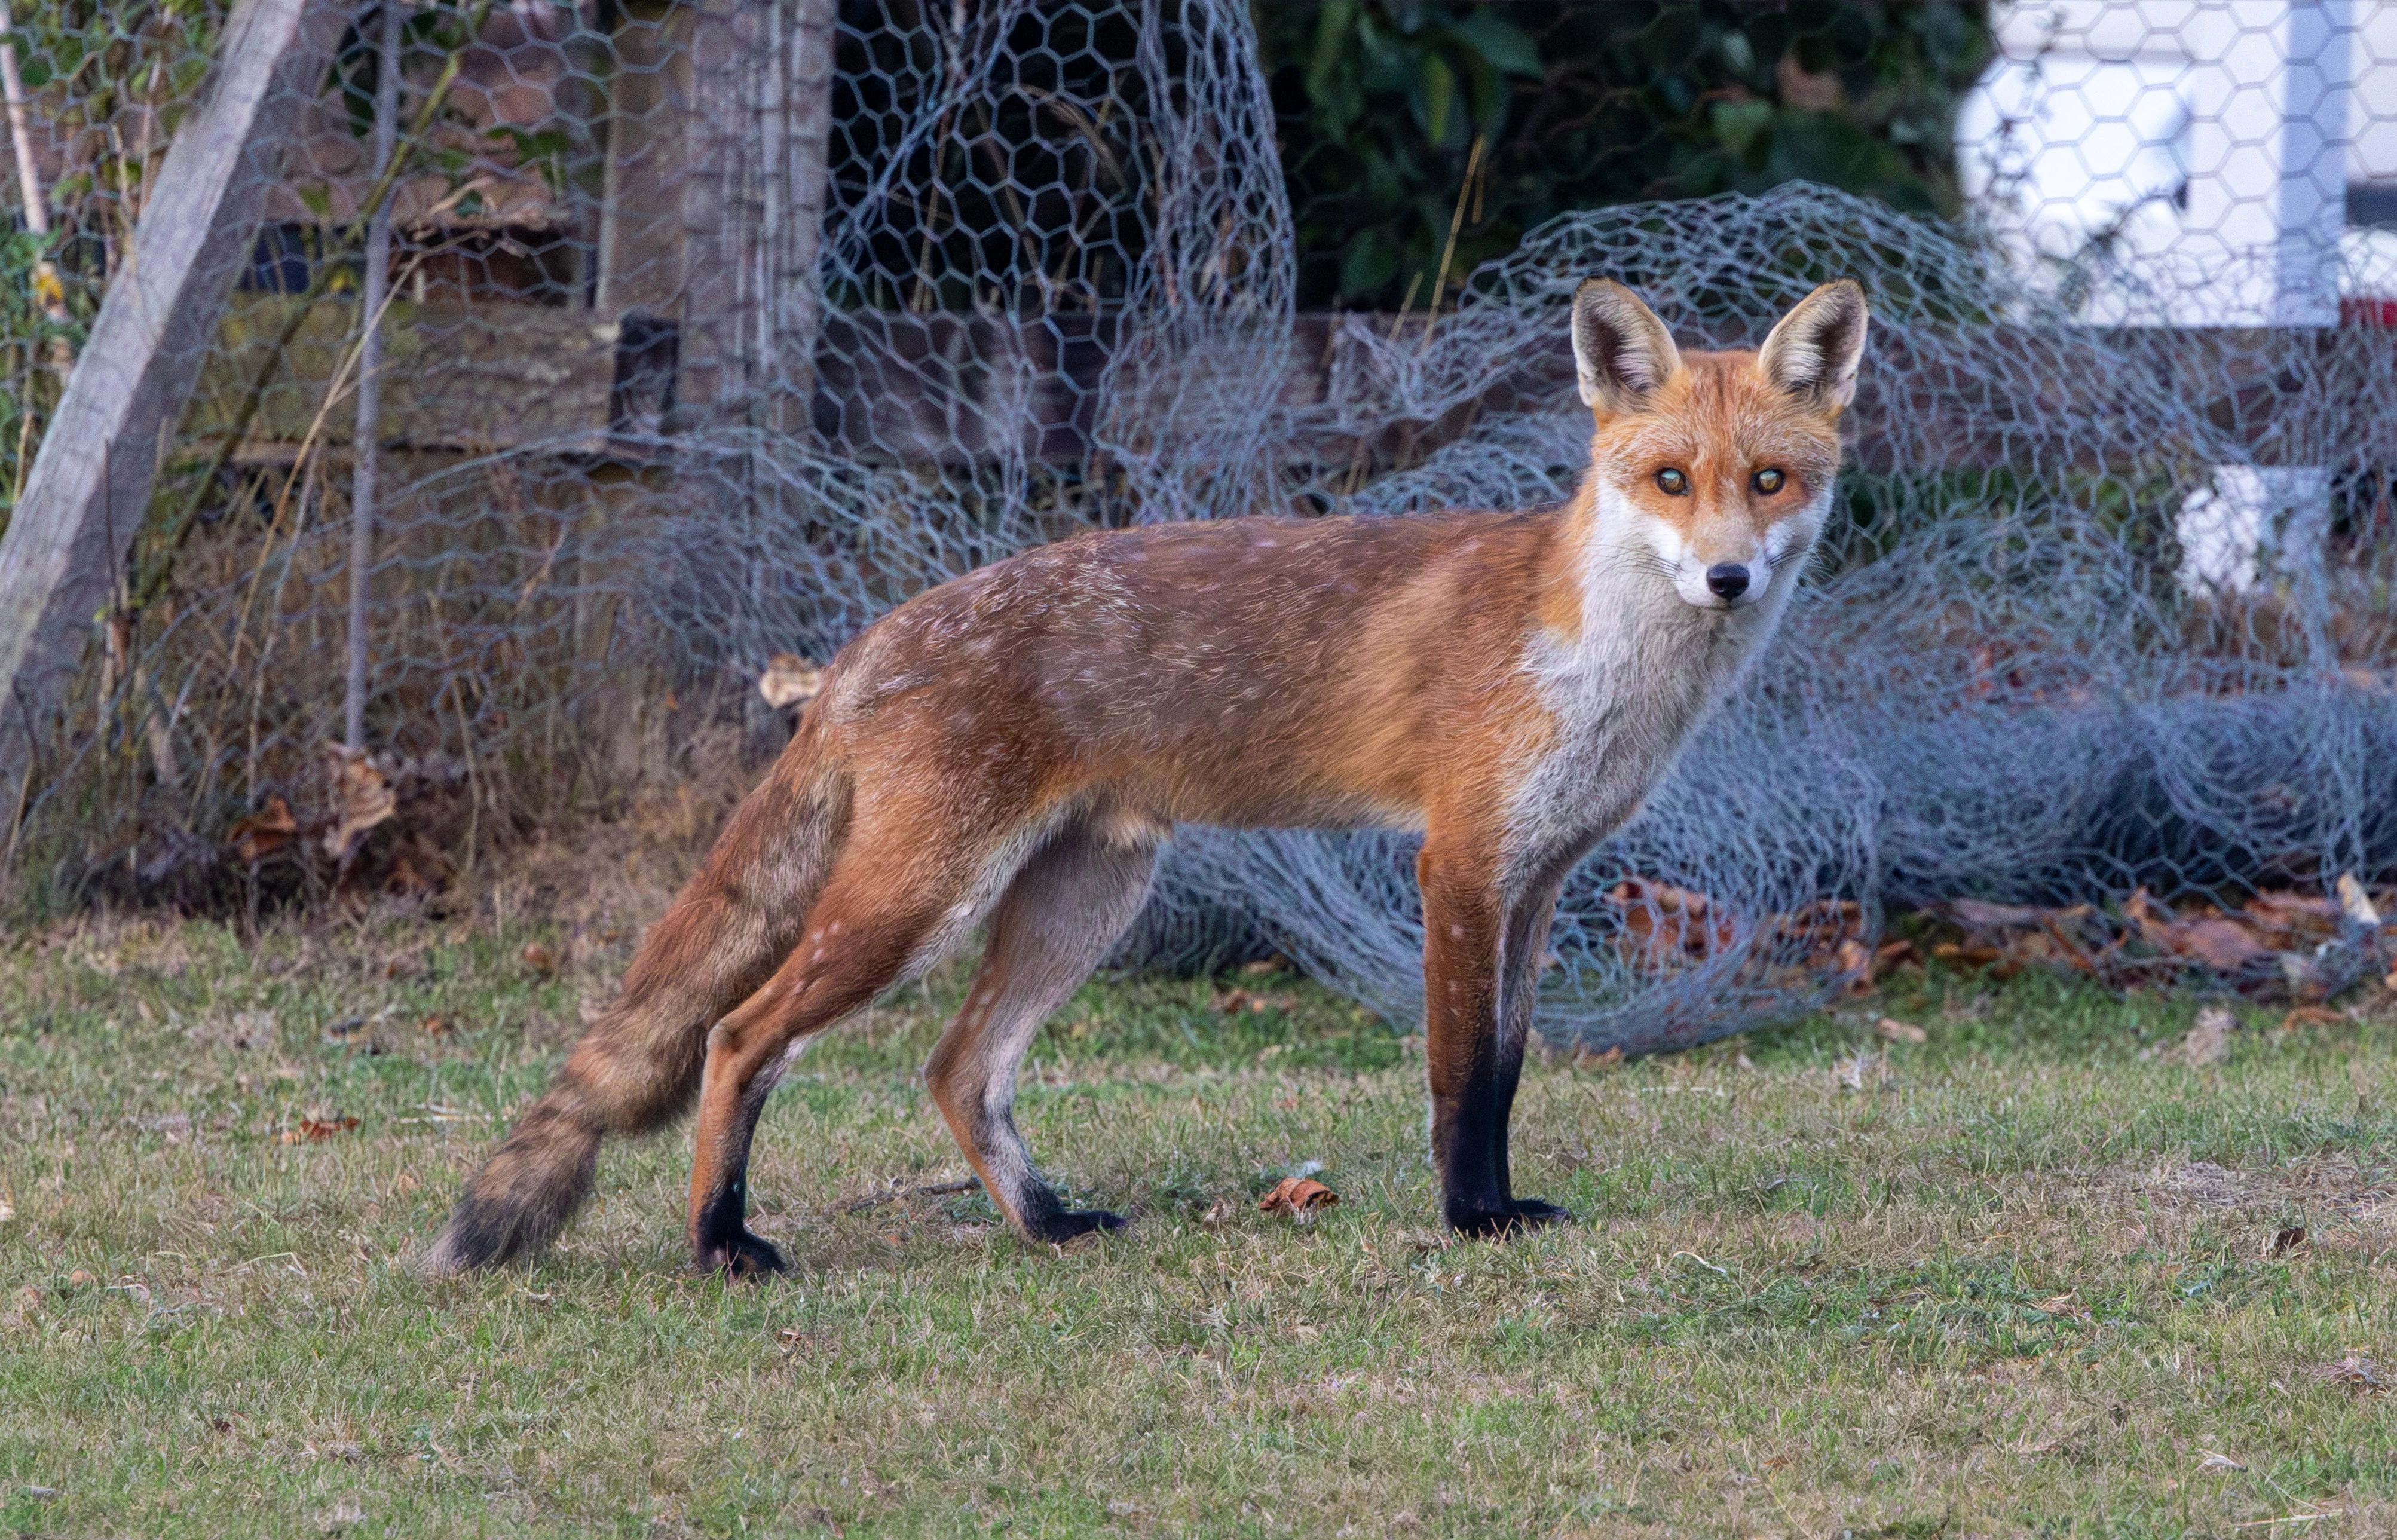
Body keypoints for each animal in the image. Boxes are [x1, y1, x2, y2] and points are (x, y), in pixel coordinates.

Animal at [422, 277, 1869, 1277]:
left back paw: (1045, 1224)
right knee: (736, 1034)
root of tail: (862, 647)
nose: (1727, 577)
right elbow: (1460, 1078)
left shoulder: (1537, 878)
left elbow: (1507, 1069)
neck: (1596, 656)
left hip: (1084, 898)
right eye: (1668, 478)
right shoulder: (1457, 866)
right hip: (917, 903)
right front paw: (1469, 1220)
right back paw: (721, 1244)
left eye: (1767, 479)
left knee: (957, 1068)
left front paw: (1500, 1206)